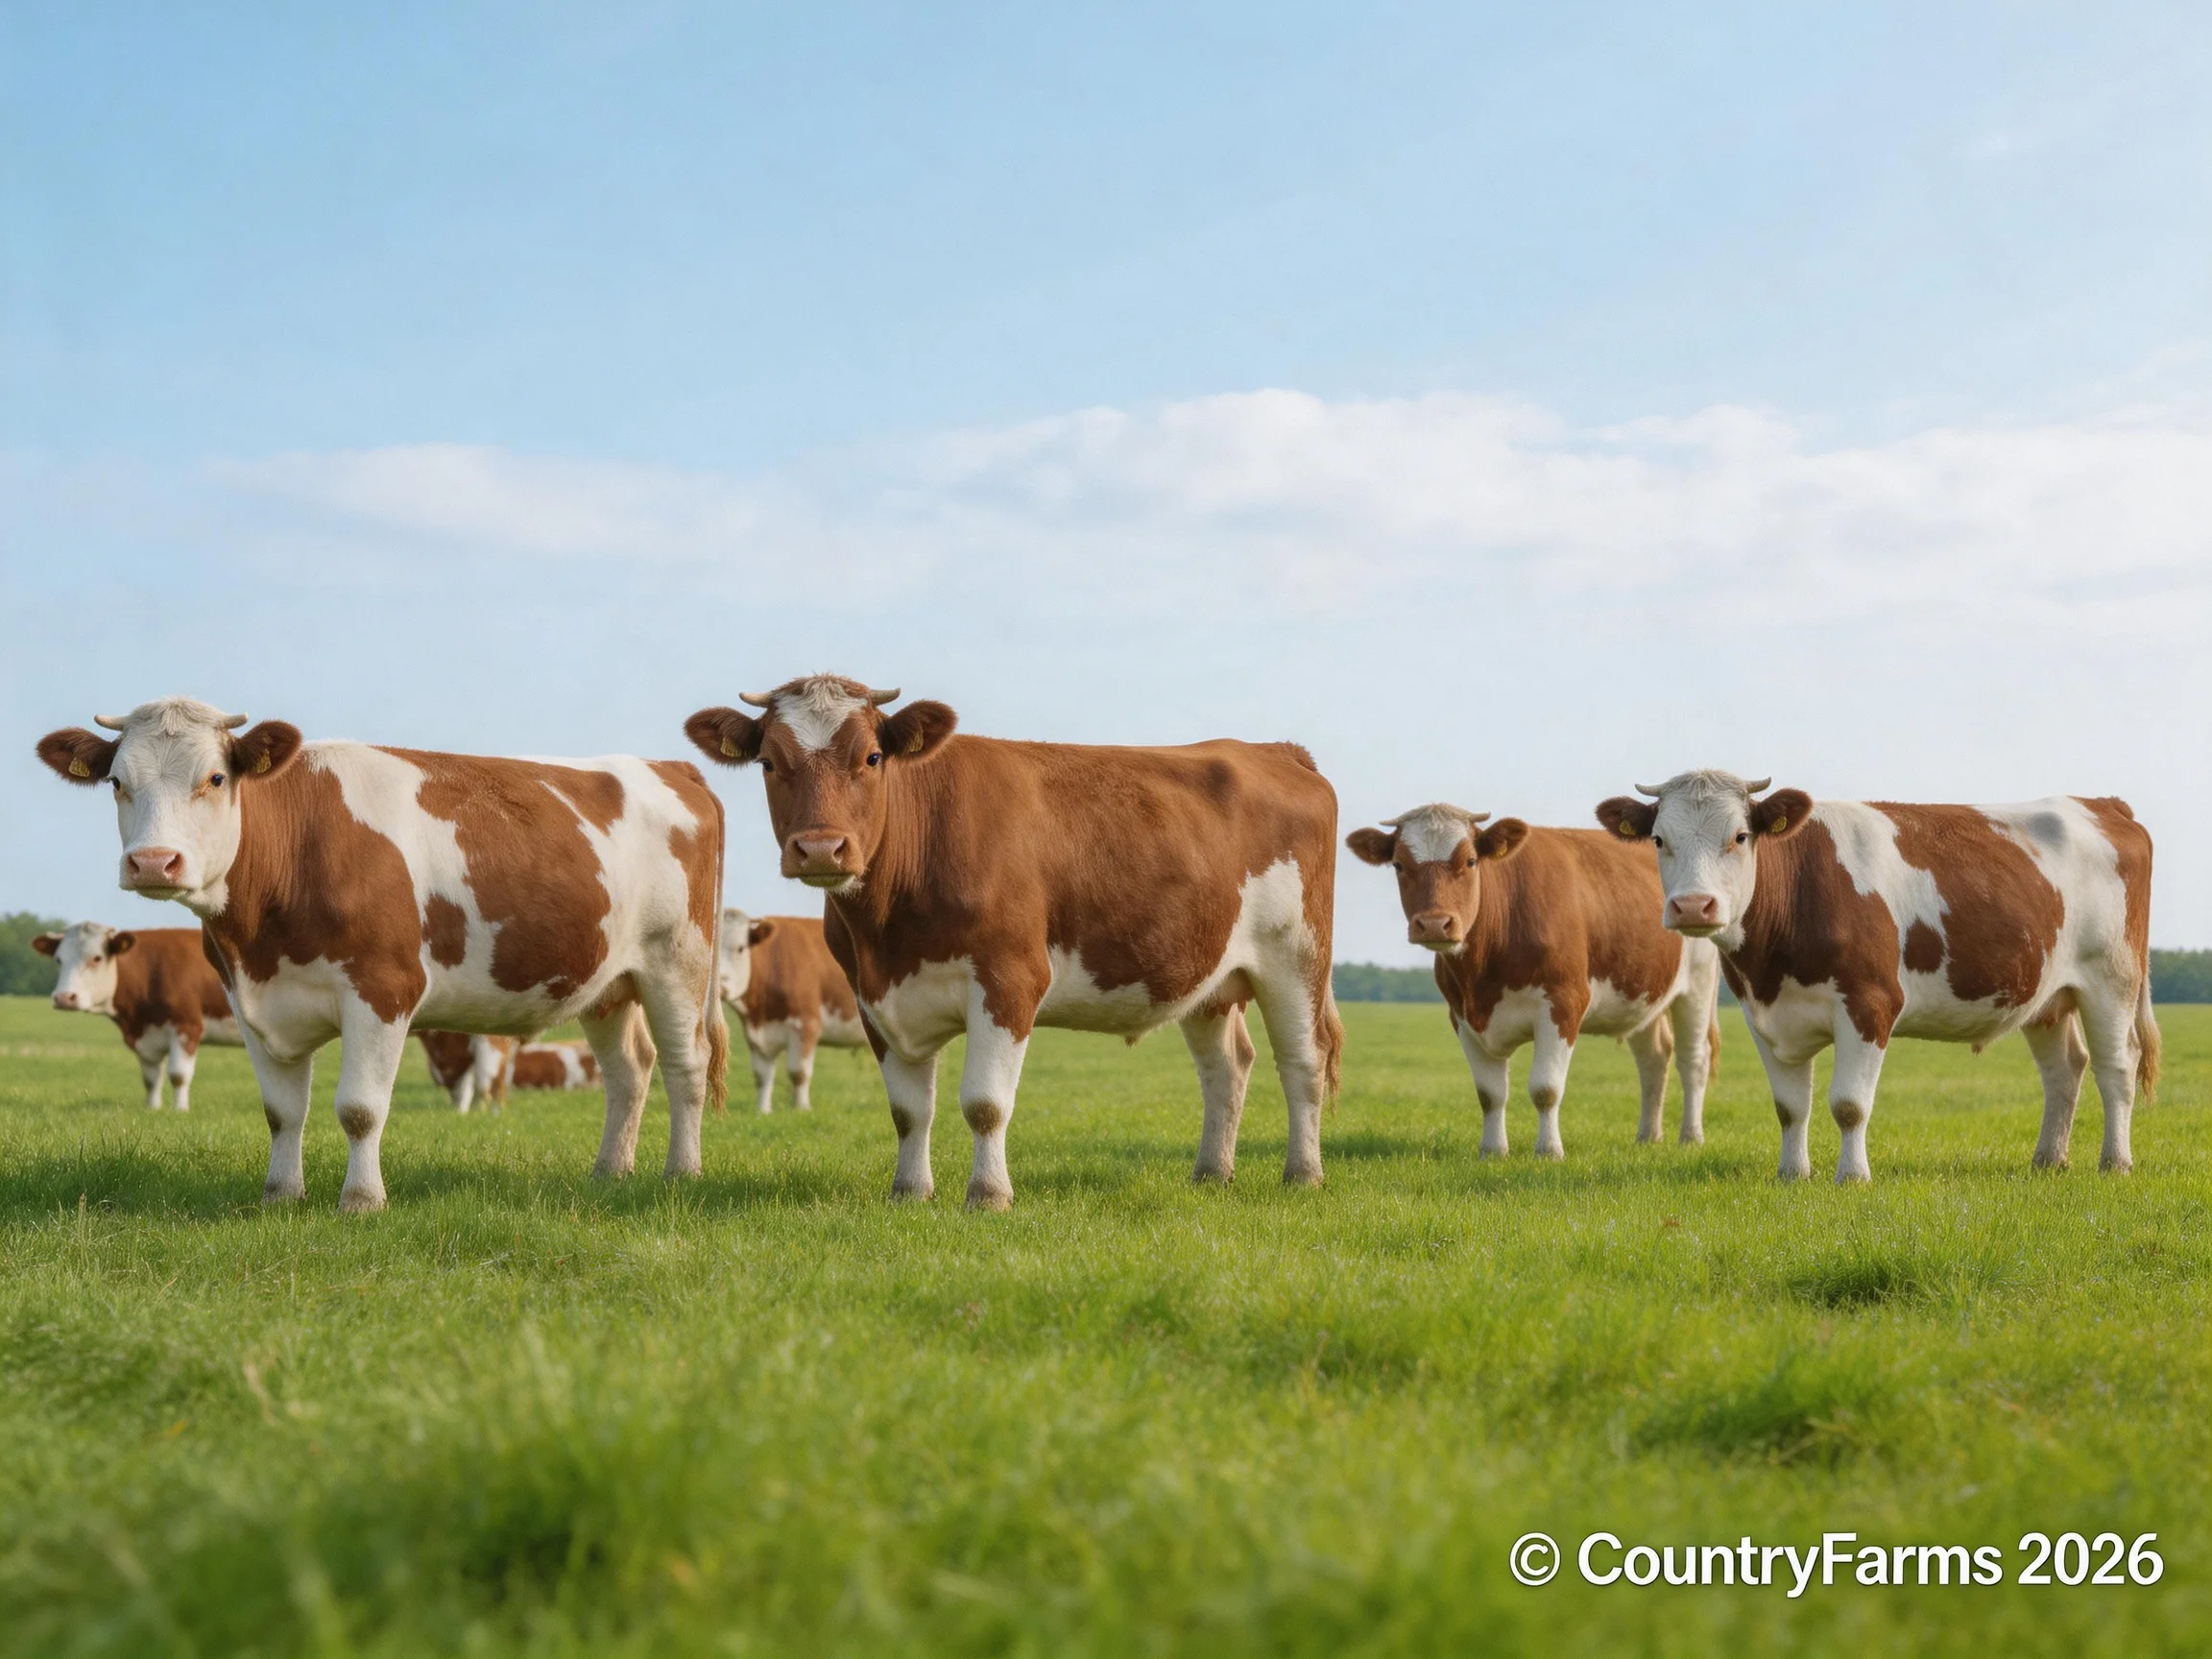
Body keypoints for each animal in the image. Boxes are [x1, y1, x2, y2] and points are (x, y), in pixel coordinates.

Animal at [34, 922, 241, 1111]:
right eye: (59, 959)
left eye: (97, 958)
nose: (64, 997)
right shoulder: (147, 1037)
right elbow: (151, 1079)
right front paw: (152, 1109)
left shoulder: (186, 1027)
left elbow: (178, 1076)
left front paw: (180, 1111)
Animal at [719, 907, 868, 1112]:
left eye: (740, 948)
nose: (719, 987)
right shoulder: (756, 1034)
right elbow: (761, 1075)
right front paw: (763, 1111)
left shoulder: (806, 1023)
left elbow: (799, 1072)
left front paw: (802, 1109)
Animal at [1346, 804, 1720, 1157]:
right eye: (1398, 865)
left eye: (1470, 861)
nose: (1435, 924)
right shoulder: (1462, 1016)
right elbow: (1490, 1094)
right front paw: (1493, 1151)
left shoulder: (1563, 1003)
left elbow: (1545, 1089)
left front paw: (1549, 1151)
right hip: (1642, 992)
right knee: (1654, 1058)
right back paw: (1647, 1137)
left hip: (1698, 984)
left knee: (1693, 1059)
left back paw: (1691, 1137)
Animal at [1596, 771, 2158, 1183]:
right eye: (1659, 839)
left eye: (1739, 836)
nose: (1693, 905)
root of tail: (2102, 803)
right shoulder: (1764, 1017)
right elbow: (1789, 1108)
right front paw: (1792, 1174)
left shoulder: (1869, 1003)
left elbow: (1849, 1105)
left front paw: (1852, 1177)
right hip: (2047, 994)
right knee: (2065, 1068)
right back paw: (2049, 1160)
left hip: (2112, 979)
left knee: (2116, 1067)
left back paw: (2116, 1162)